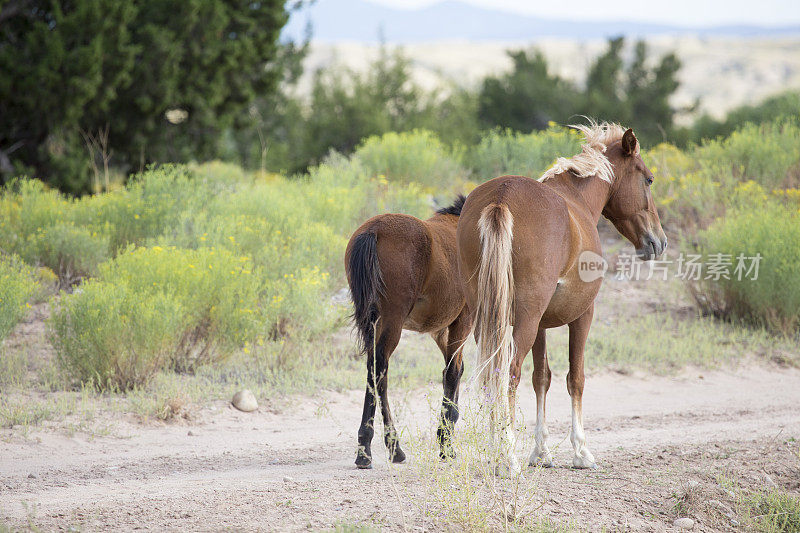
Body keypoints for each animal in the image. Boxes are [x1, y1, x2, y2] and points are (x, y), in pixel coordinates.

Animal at [342, 194, 468, 466]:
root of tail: (373, 230)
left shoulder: (440, 330)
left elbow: (453, 370)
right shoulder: (462, 320)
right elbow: (453, 371)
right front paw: (445, 443)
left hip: (376, 322)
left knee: (376, 373)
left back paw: (382, 447)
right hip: (393, 320)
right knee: (379, 369)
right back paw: (375, 448)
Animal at [456, 123, 668, 474]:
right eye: (648, 179)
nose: (659, 241)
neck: (576, 200)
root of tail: (502, 196)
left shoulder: (541, 325)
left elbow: (542, 378)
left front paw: (541, 452)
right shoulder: (583, 316)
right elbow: (575, 378)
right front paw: (581, 451)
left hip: (491, 321)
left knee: (492, 374)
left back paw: (495, 451)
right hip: (523, 323)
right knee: (508, 375)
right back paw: (508, 457)